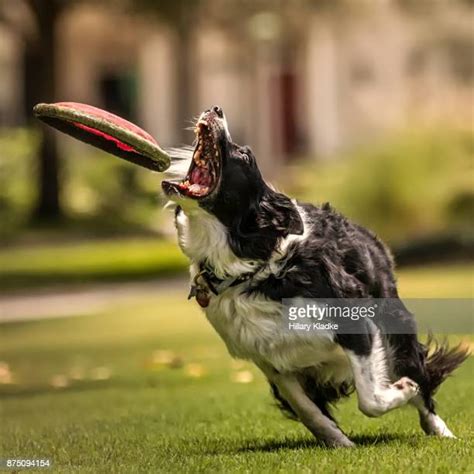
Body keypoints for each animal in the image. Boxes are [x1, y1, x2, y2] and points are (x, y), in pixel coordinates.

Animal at [161, 105, 468, 446]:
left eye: (244, 155)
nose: (215, 109)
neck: (253, 269)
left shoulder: (354, 320)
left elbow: (370, 398)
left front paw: (402, 389)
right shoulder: (268, 358)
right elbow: (307, 409)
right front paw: (339, 442)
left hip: (394, 320)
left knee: (421, 382)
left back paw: (440, 429)